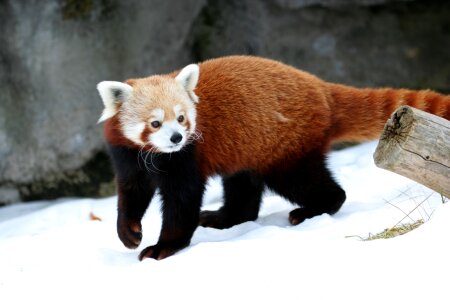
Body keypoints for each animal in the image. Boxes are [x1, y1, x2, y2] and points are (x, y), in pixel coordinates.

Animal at [97, 56, 450, 260]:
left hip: (286, 149)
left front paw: (163, 247)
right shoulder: (127, 154)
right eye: (155, 123)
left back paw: (312, 209)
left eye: (182, 118)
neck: (155, 155)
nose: (176, 138)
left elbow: (182, 201)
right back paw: (225, 218)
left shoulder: (187, 158)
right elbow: (131, 192)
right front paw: (129, 233)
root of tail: (322, 89)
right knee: (243, 186)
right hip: (250, 146)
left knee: (308, 184)